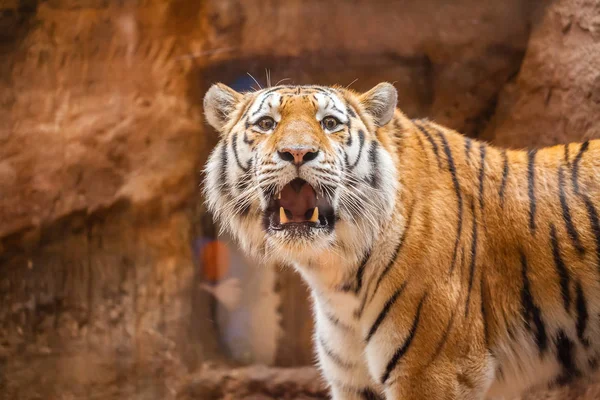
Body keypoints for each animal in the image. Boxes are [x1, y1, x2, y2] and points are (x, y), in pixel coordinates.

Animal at [200, 82, 600, 400]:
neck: (335, 275)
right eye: (266, 124)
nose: (297, 153)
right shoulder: (352, 381)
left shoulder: (433, 372)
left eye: (330, 123)